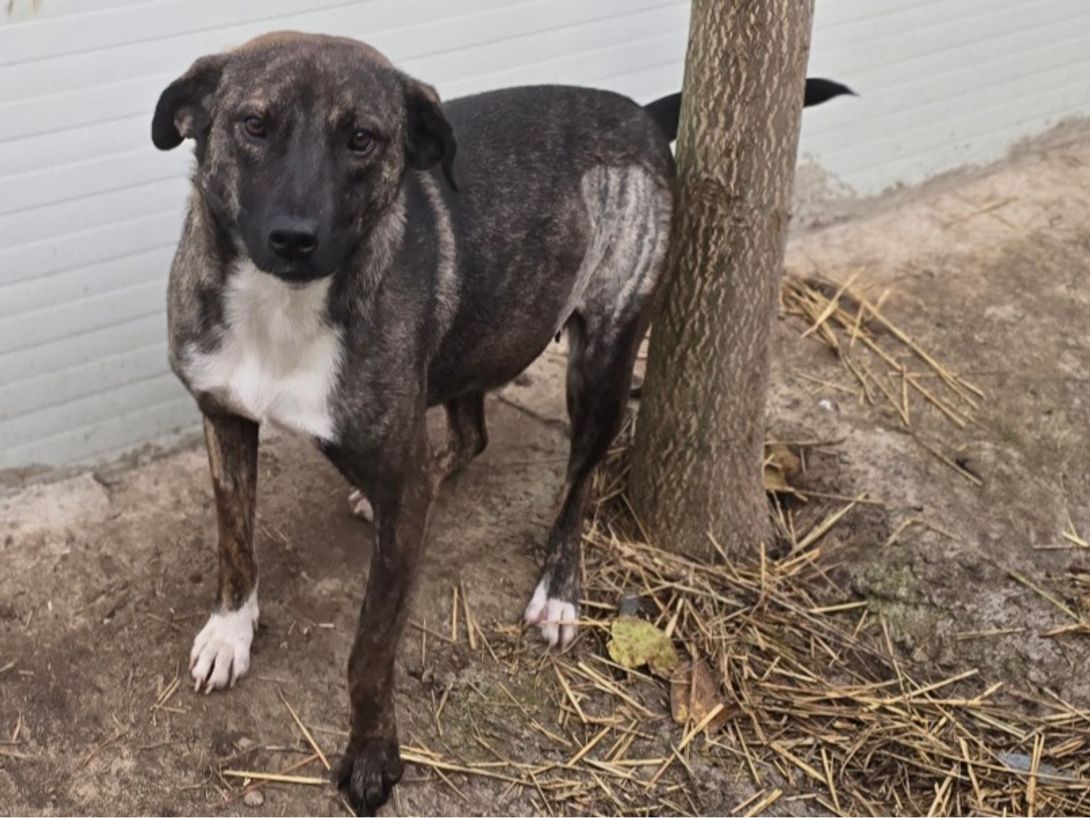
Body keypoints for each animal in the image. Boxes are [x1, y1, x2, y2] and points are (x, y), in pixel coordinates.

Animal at [152, 31, 848, 813]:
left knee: (575, 485)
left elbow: (371, 648)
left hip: (601, 366)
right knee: (470, 436)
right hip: (474, 335)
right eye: (253, 124)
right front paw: (230, 630)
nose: (295, 239)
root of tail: (638, 112)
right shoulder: (224, 418)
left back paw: (558, 590)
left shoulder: (399, 491)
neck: (281, 309)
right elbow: (235, 541)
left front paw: (372, 756)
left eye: (363, 139)